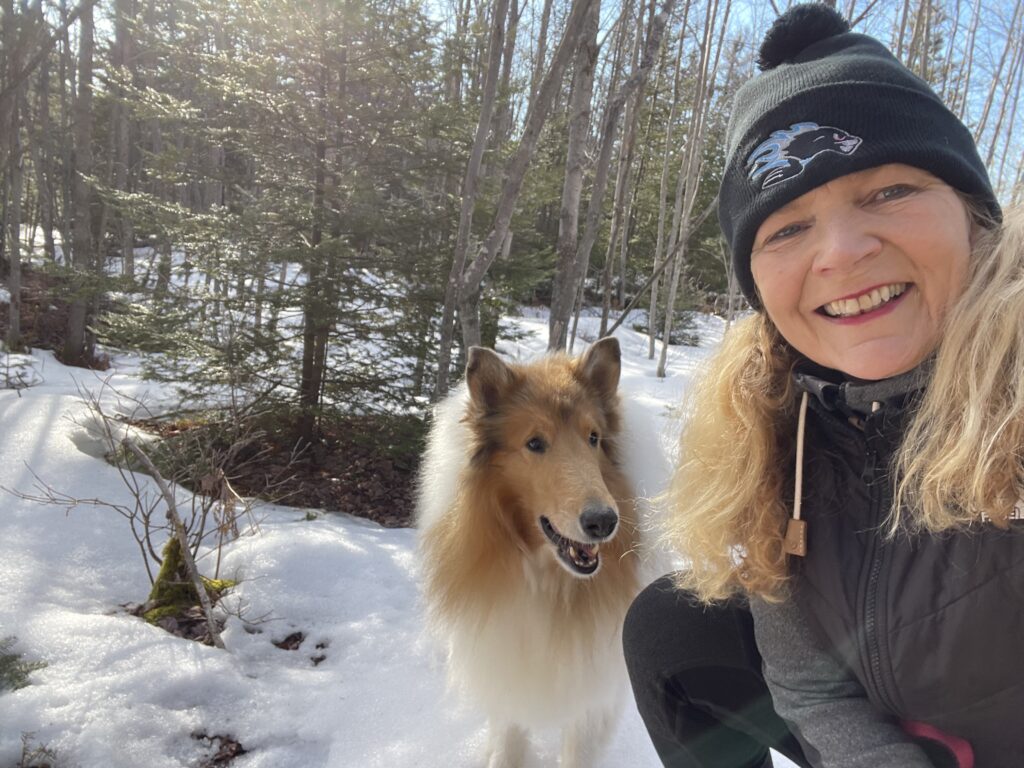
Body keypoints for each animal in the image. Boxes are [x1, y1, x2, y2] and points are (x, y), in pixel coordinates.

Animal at [415, 339, 638, 765]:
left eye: (594, 437)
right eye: (535, 443)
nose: (603, 522)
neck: (549, 579)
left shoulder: (590, 696)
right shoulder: (510, 673)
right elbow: (508, 743)